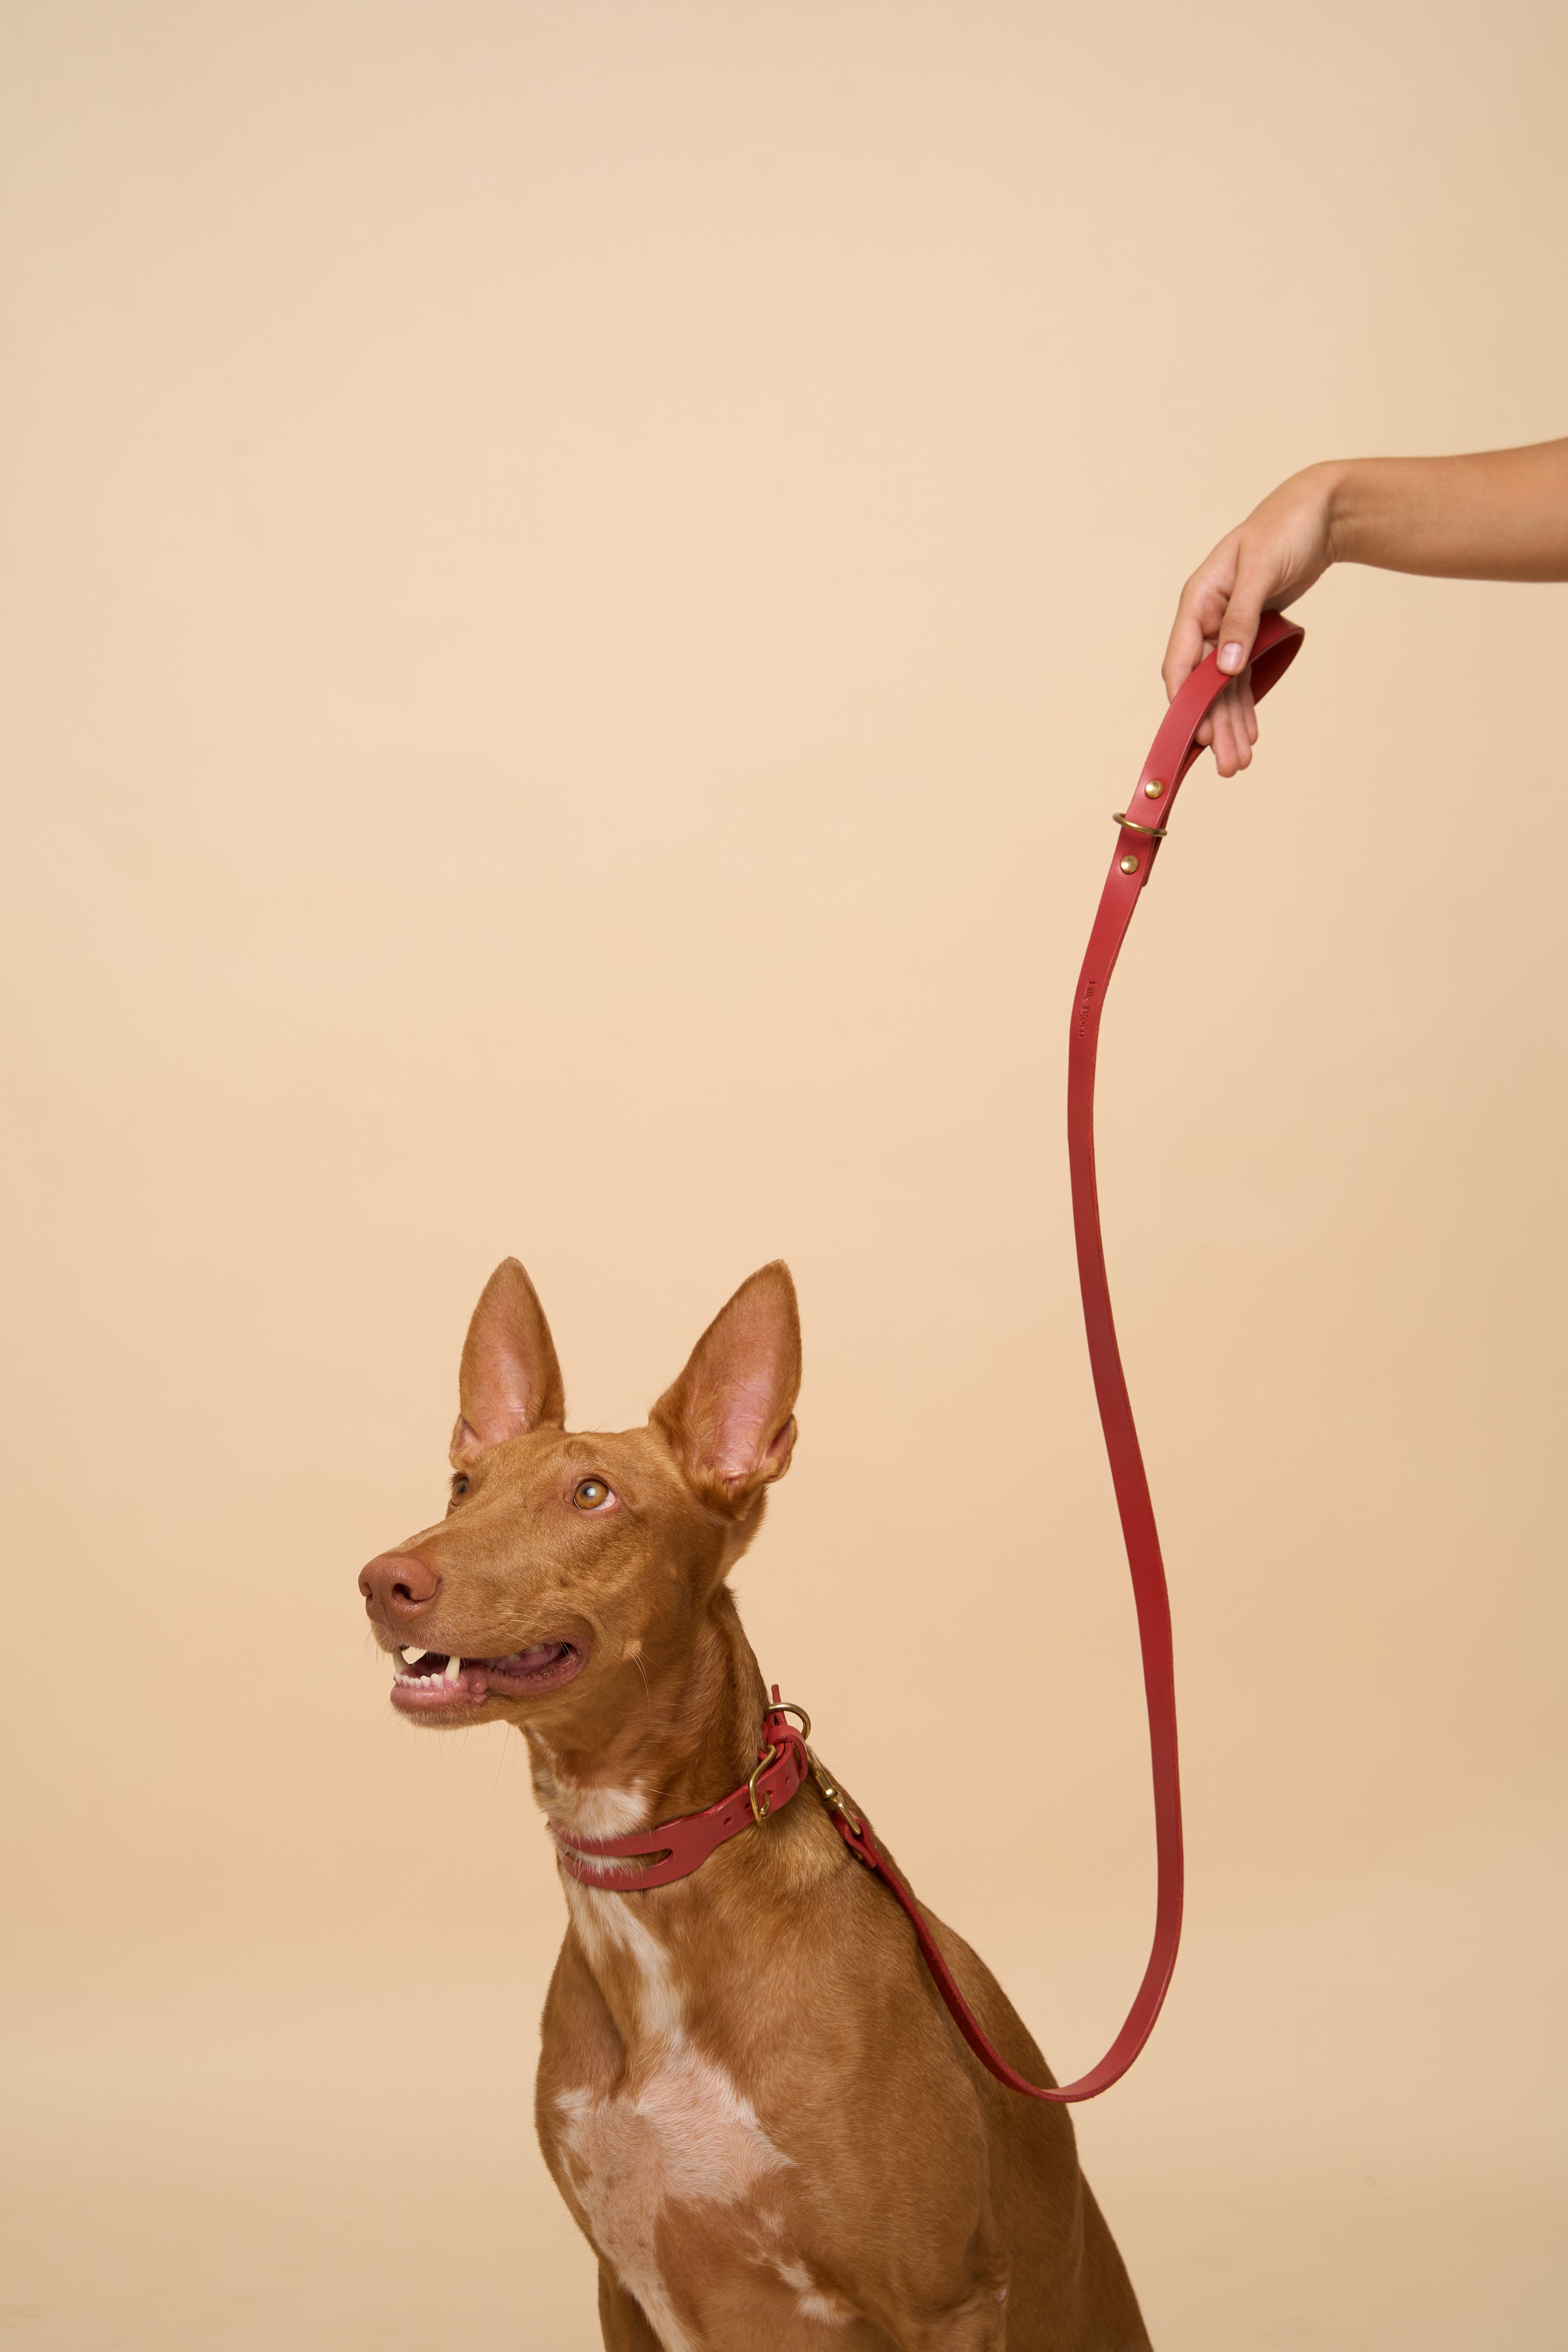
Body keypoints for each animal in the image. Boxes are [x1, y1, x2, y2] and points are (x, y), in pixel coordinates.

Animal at [359, 1261, 1152, 2343]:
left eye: (592, 1495)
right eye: (461, 1487)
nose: (381, 1580)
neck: (653, 1900)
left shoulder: (948, 2301)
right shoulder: (621, 2287)